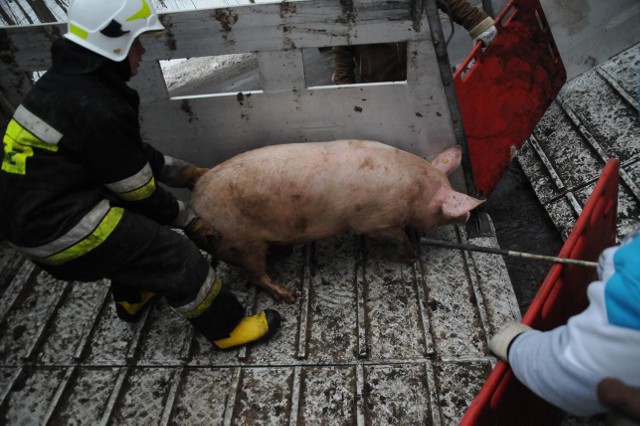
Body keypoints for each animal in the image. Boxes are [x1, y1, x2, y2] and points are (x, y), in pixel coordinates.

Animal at [191, 140, 484, 302]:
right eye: (443, 211)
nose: (468, 216)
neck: (414, 190)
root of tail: (196, 207)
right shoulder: (372, 221)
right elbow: (397, 235)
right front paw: (411, 258)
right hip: (240, 241)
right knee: (253, 274)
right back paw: (288, 295)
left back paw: (284, 253)